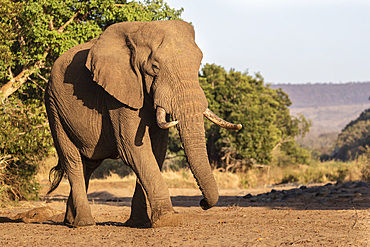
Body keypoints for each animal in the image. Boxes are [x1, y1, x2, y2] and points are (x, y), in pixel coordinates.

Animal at [44, 19, 241, 228]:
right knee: (72, 160)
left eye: (199, 65)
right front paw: (169, 220)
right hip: (54, 107)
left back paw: (70, 221)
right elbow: (133, 148)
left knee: (87, 166)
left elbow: (157, 150)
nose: (202, 203)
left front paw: (139, 223)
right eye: (154, 67)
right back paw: (85, 223)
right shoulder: (118, 91)